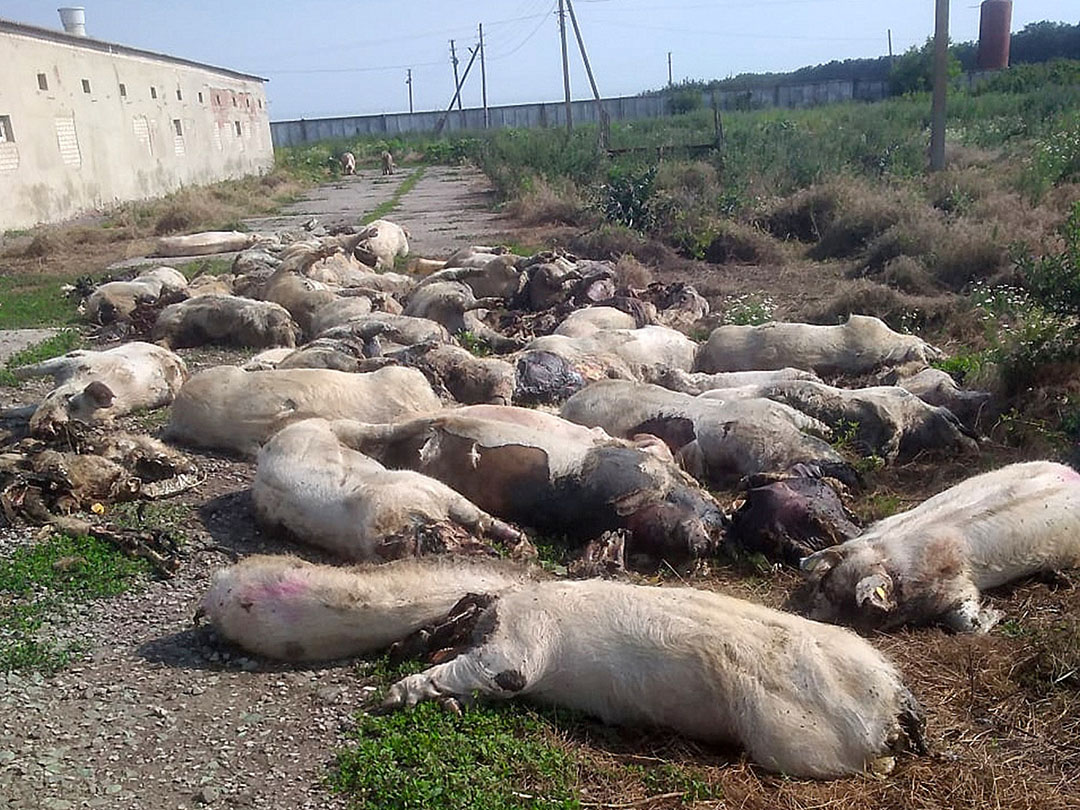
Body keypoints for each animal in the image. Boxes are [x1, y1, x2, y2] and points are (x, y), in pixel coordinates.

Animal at [794, 462, 1080, 635]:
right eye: (822, 586)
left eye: (834, 595)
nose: (805, 615)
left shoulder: (957, 586)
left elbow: (969, 626)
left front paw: (998, 613)